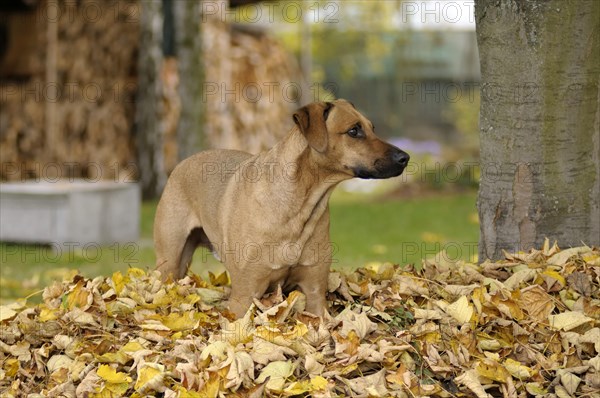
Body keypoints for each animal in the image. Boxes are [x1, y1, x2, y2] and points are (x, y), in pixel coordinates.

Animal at [152, 99, 410, 318]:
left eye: (372, 128)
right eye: (354, 131)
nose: (405, 158)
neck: (300, 205)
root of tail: (181, 164)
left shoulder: (315, 291)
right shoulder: (244, 296)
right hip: (170, 260)